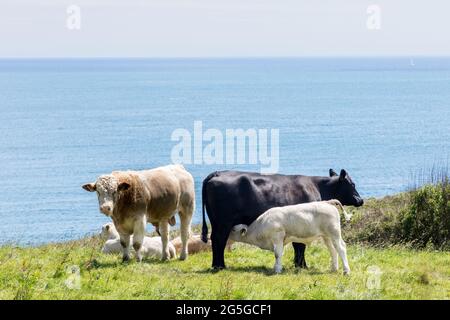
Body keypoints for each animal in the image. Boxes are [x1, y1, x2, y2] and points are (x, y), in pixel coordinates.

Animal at [202, 169, 364, 268]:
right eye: (352, 184)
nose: (360, 200)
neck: (316, 187)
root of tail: (217, 173)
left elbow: (298, 246)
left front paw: (299, 265)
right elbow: (300, 246)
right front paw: (302, 265)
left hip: (216, 222)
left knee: (214, 239)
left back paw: (216, 265)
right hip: (223, 223)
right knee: (219, 240)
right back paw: (220, 265)